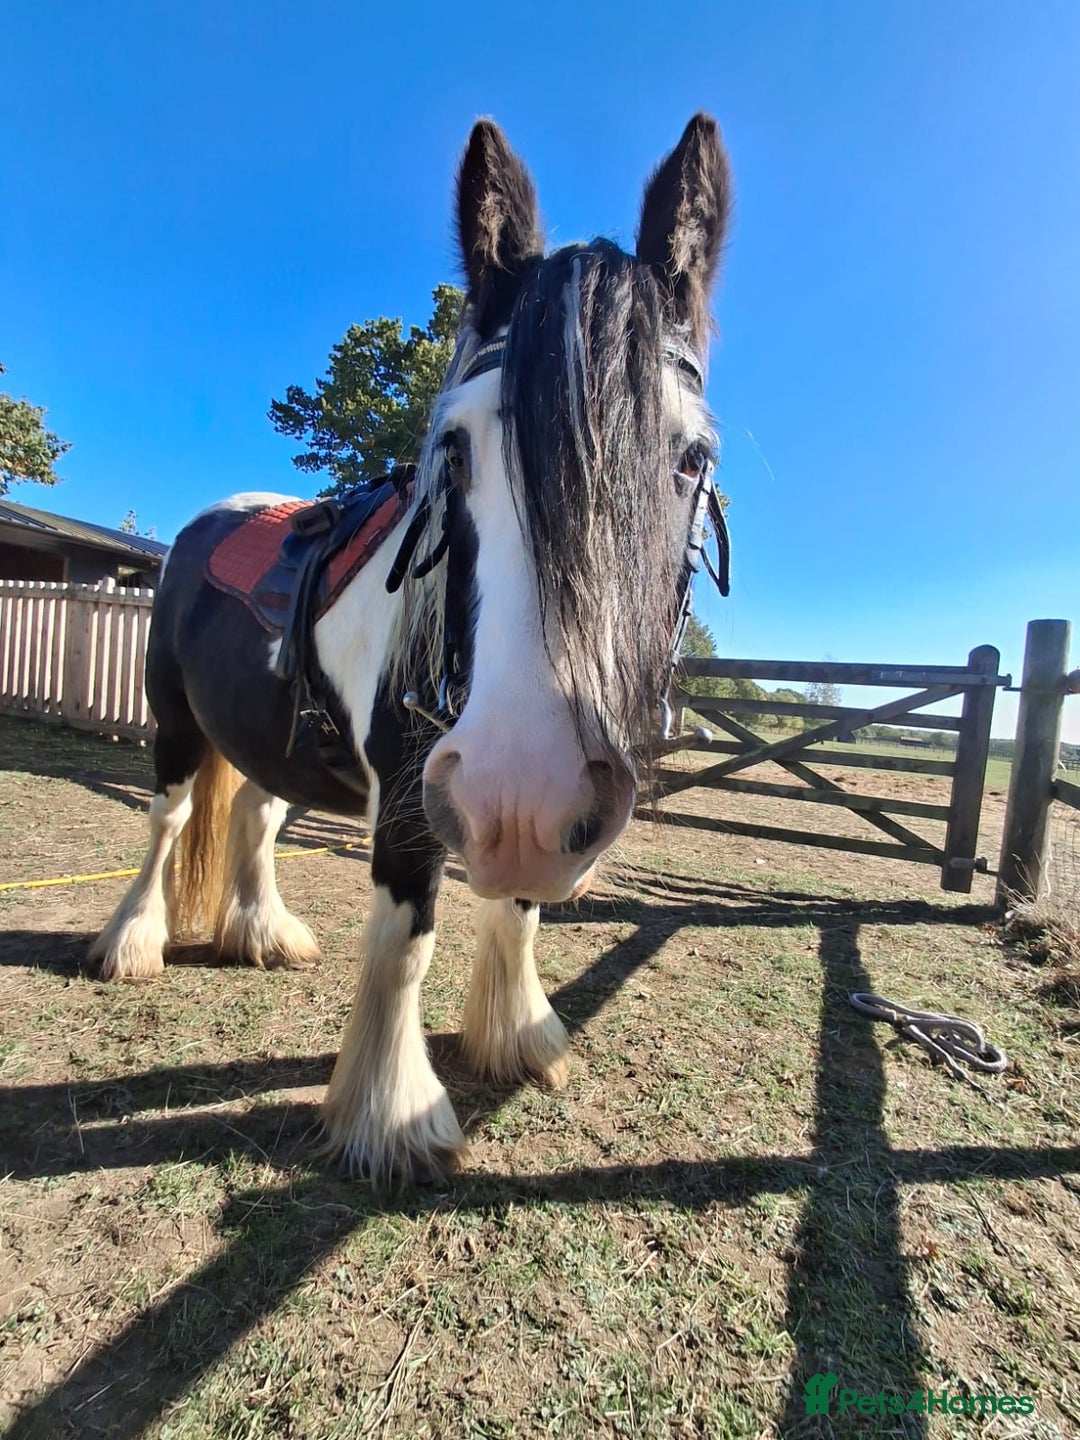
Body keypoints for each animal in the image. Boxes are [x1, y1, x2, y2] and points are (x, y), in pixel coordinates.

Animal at [89, 114, 732, 1185]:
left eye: (693, 458)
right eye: (456, 448)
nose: (523, 788)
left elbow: (515, 910)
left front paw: (518, 1038)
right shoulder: (407, 793)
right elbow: (404, 944)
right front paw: (393, 1116)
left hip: (284, 742)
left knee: (255, 816)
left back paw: (262, 934)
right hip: (175, 722)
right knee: (169, 821)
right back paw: (129, 944)